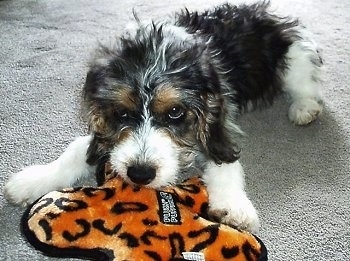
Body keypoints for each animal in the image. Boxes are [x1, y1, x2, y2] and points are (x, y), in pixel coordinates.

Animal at [5, 2, 322, 232]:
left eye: (175, 112)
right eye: (122, 112)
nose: (140, 174)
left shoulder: (219, 122)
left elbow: (225, 160)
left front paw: (234, 206)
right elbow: (76, 149)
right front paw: (32, 180)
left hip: (295, 56)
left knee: (305, 84)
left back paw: (305, 108)